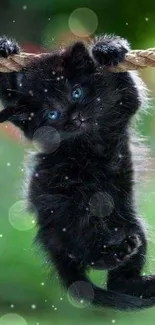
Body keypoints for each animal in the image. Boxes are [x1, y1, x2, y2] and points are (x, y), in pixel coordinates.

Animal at [0, 34, 155, 308]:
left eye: (76, 92)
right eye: (52, 114)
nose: (75, 118)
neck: (88, 136)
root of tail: (48, 236)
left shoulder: (124, 103)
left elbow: (131, 87)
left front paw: (108, 49)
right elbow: (8, 94)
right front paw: (6, 48)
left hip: (131, 222)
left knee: (118, 281)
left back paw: (142, 280)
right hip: (71, 210)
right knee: (84, 250)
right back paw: (116, 252)